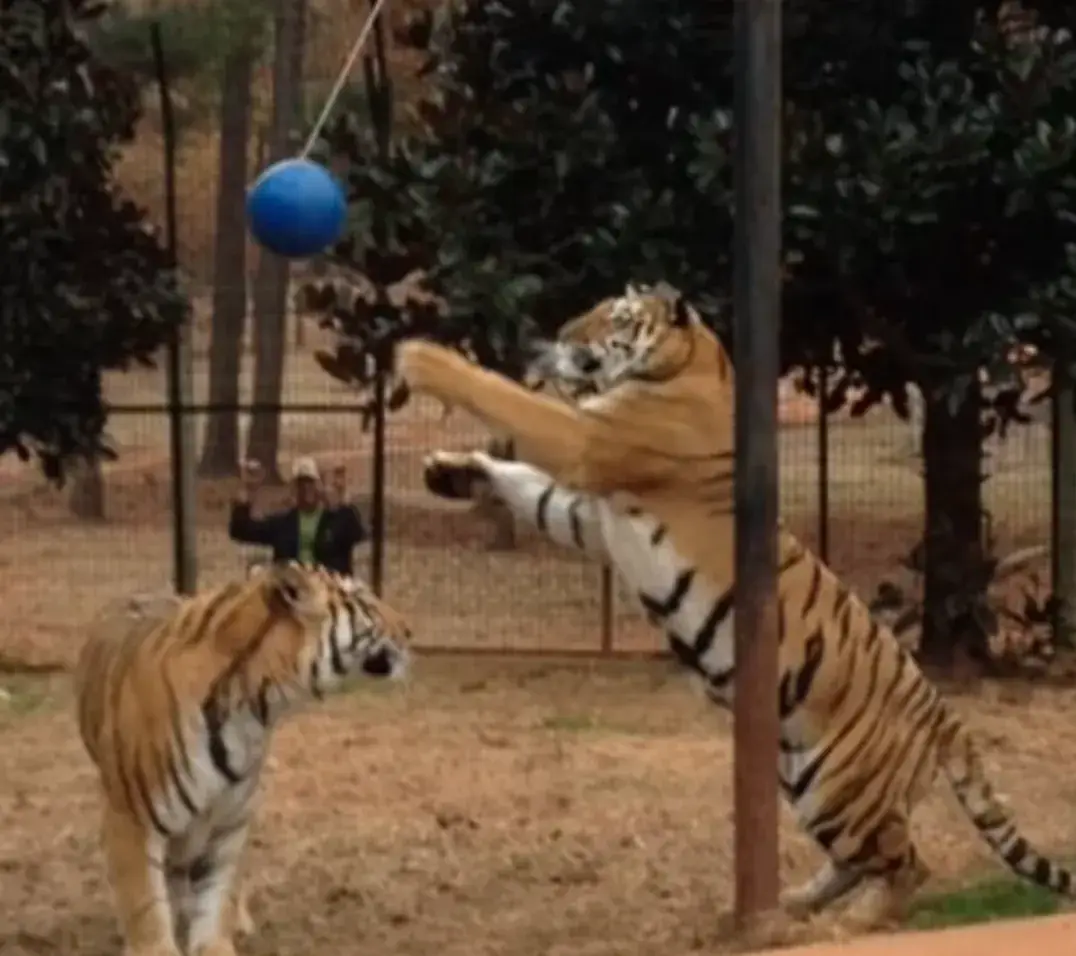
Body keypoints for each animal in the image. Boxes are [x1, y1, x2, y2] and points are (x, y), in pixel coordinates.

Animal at [74, 562, 411, 956]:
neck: (254, 707)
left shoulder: (230, 821)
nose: (409, 630)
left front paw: (215, 939)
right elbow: (145, 902)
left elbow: (217, 896)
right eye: (365, 602)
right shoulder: (131, 819)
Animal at [396, 282, 1076, 929]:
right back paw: (797, 903)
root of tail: (945, 717)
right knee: (863, 861)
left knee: (909, 865)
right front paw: (452, 470)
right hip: (806, 779)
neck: (687, 365)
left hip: (841, 787)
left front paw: (422, 357)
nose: (553, 337)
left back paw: (846, 922)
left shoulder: (590, 443)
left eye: (614, 317)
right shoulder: (591, 516)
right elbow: (529, 489)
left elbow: (511, 400)